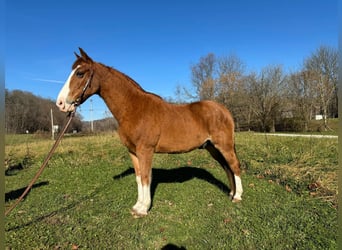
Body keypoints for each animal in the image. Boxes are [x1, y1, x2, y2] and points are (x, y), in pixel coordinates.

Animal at [56, 47, 243, 216]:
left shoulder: (145, 150)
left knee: (234, 165)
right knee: (226, 167)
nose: (60, 103)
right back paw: (231, 193)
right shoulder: (133, 152)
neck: (134, 108)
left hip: (224, 145)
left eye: (80, 73)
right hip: (211, 147)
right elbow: (139, 178)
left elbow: (146, 177)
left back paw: (238, 196)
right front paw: (137, 206)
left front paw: (144, 209)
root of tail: (224, 110)